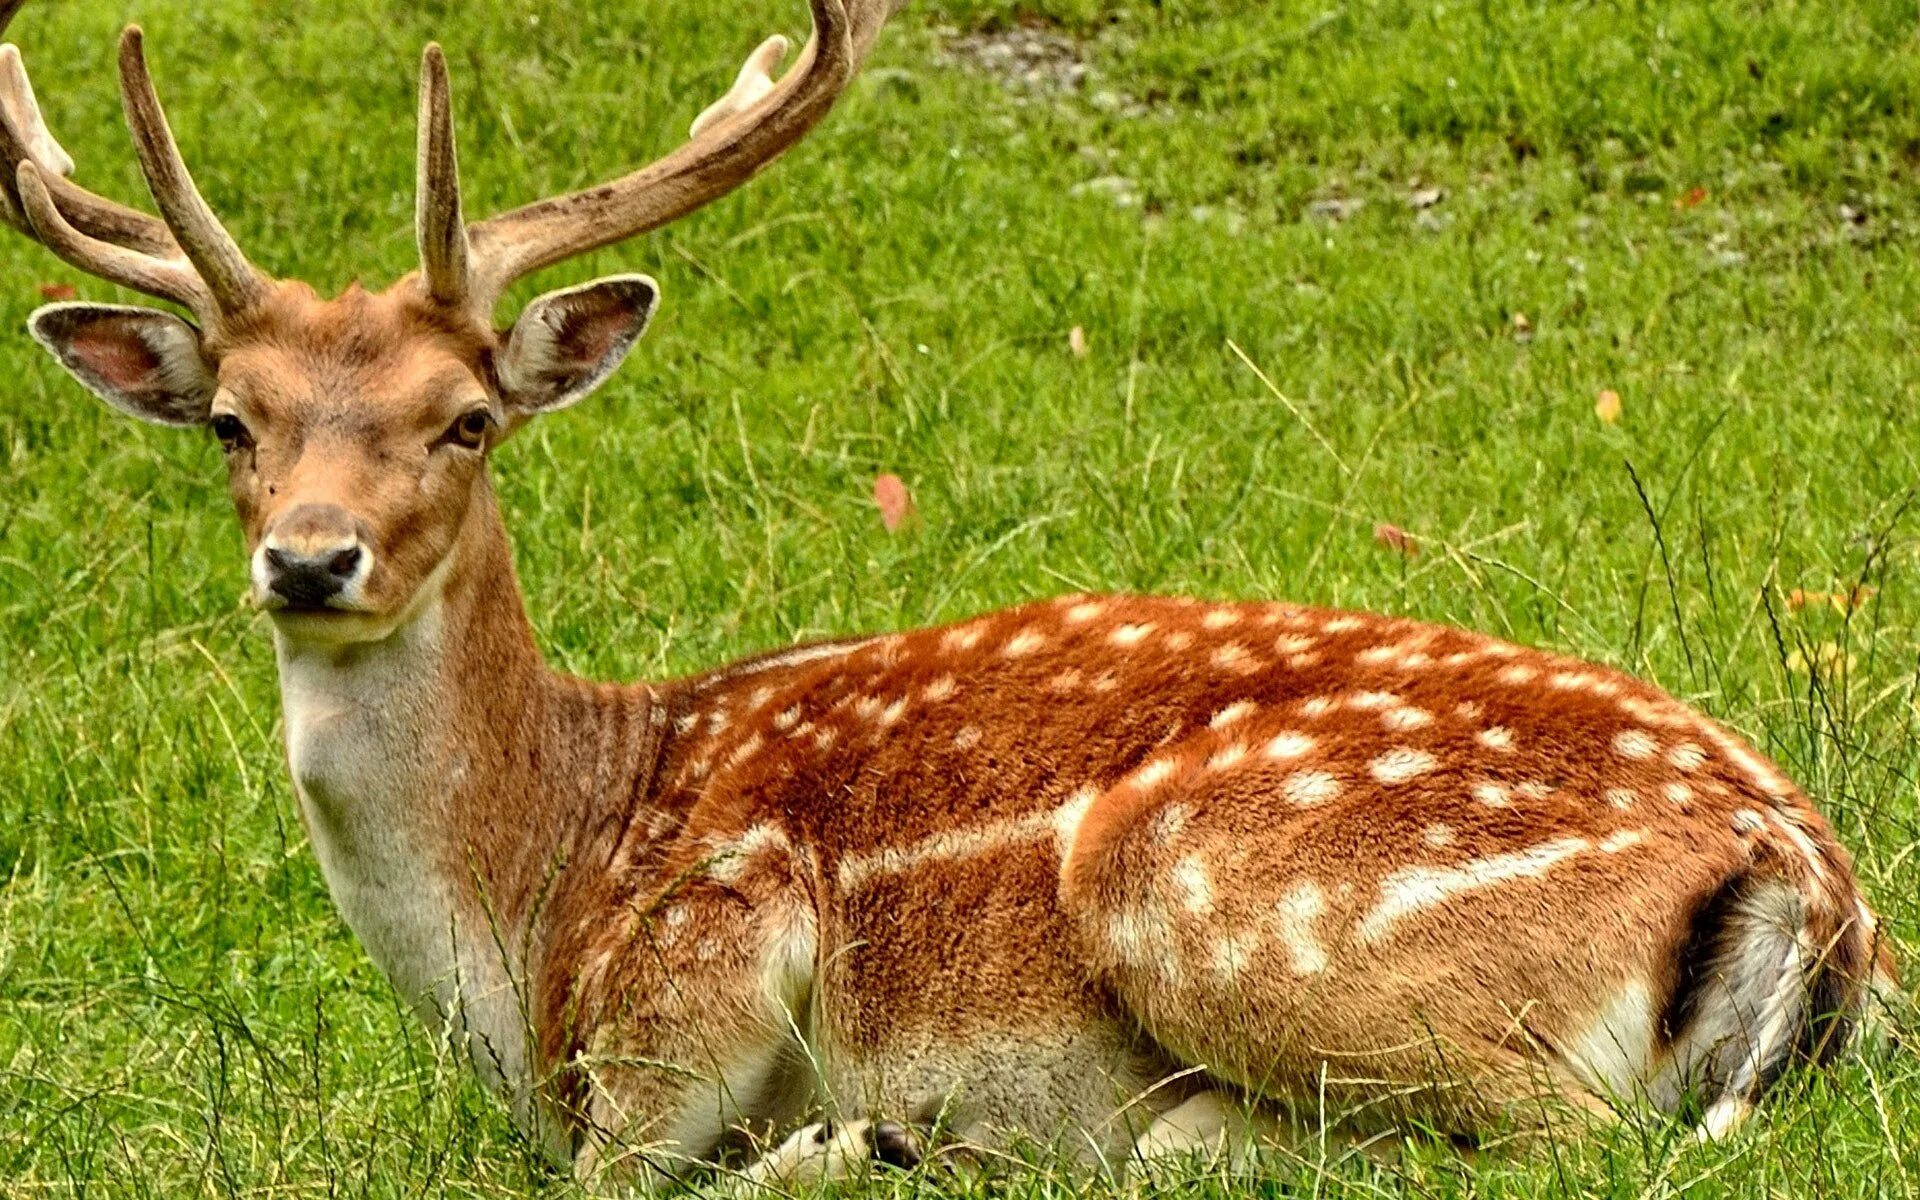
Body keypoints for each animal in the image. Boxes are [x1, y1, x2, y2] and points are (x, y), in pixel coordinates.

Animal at [0, 0, 1904, 1182]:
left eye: (464, 419)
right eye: (234, 425)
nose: (310, 557)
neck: (536, 895)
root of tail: (1814, 884)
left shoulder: (700, 951)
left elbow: (629, 1168)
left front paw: (849, 1139)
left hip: (1214, 888)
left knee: (1556, 1146)